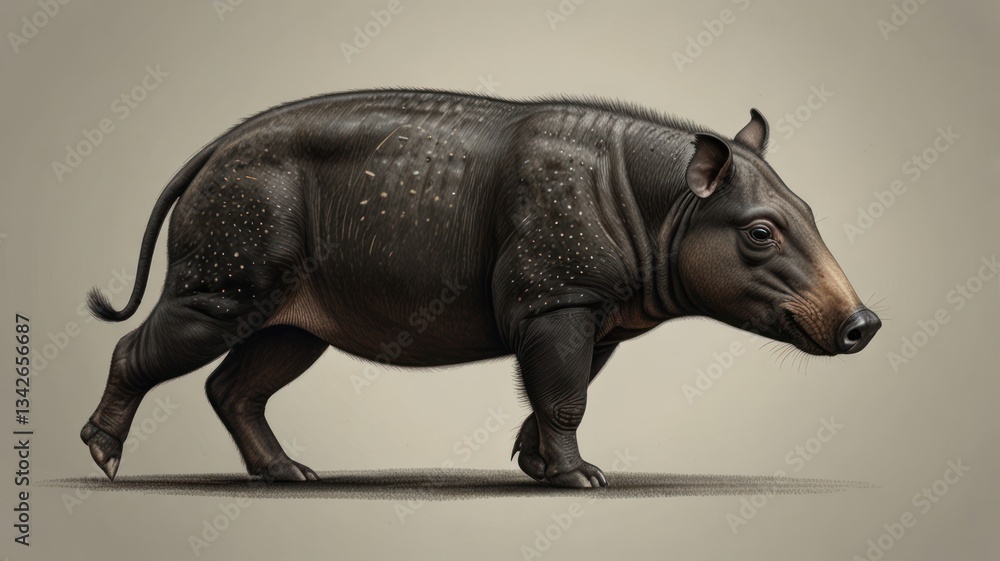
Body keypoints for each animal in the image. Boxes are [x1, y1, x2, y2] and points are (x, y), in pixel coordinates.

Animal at [81, 89, 880, 488]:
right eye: (760, 233)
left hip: (294, 298)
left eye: (808, 213)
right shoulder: (559, 295)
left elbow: (564, 390)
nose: (864, 325)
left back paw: (291, 475)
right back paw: (105, 462)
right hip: (238, 233)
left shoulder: (593, 310)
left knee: (264, 358)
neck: (674, 203)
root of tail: (208, 152)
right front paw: (583, 481)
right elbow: (566, 392)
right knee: (189, 329)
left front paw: (538, 468)